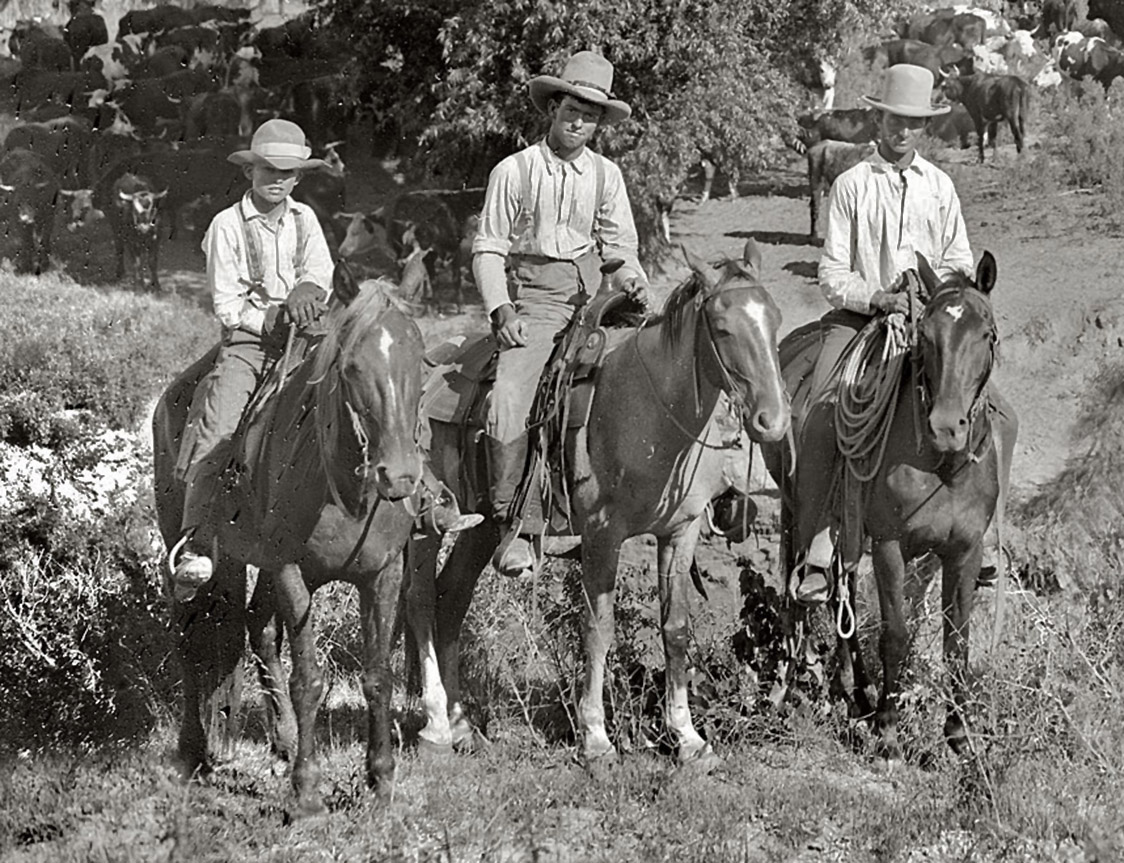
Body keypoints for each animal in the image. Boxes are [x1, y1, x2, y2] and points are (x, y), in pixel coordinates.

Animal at [151, 273, 422, 818]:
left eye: (420, 358)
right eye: (352, 367)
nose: (400, 475)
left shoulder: (382, 576)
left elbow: (377, 677)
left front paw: (381, 781)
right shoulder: (290, 569)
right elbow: (309, 680)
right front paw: (308, 791)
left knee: (256, 629)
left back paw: (283, 743)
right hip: (193, 549)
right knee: (190, 641)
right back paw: (191, 754)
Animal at [404, 240, 791, 768]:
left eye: (772, 319)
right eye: (724, 327)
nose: (774, 421)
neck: (647, 408)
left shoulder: (681, 531)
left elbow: (675, 629)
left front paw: (686, 737)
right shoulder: (602, 536)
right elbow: (597, 629)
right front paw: (594, 736)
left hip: (480, 526)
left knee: (452, 598)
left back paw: (464, 726)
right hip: (427, 522)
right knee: (422, 601)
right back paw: (437, 726)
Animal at [764, 251, 1011, 764]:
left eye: (987, 333)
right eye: (927, 336)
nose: (946, 428)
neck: (941, 464)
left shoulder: (965, 551)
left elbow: (956, 641)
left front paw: (958, 735)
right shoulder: (889, 545)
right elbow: (895, 633)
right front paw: (890, 733)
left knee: (839, 591)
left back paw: (856, 694)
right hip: (800, 511)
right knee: (799, 592)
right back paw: (789, 691)